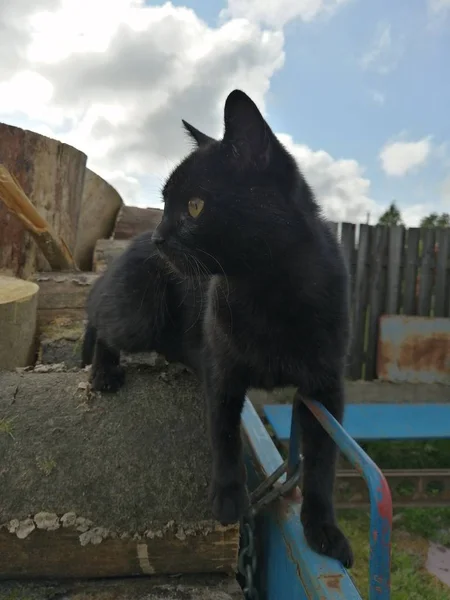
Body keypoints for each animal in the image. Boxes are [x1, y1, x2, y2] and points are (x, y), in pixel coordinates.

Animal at [82, 89, 354, 568]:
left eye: (194, 206)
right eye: (165, 203)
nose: (159, 236)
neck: (266, 290)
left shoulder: (326, 386)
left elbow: (323, 461)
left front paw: (324, 529)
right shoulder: (222, 372)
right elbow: (225, 435)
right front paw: (230, 499)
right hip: (138, 314)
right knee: (98, 317)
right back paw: (103, 371)